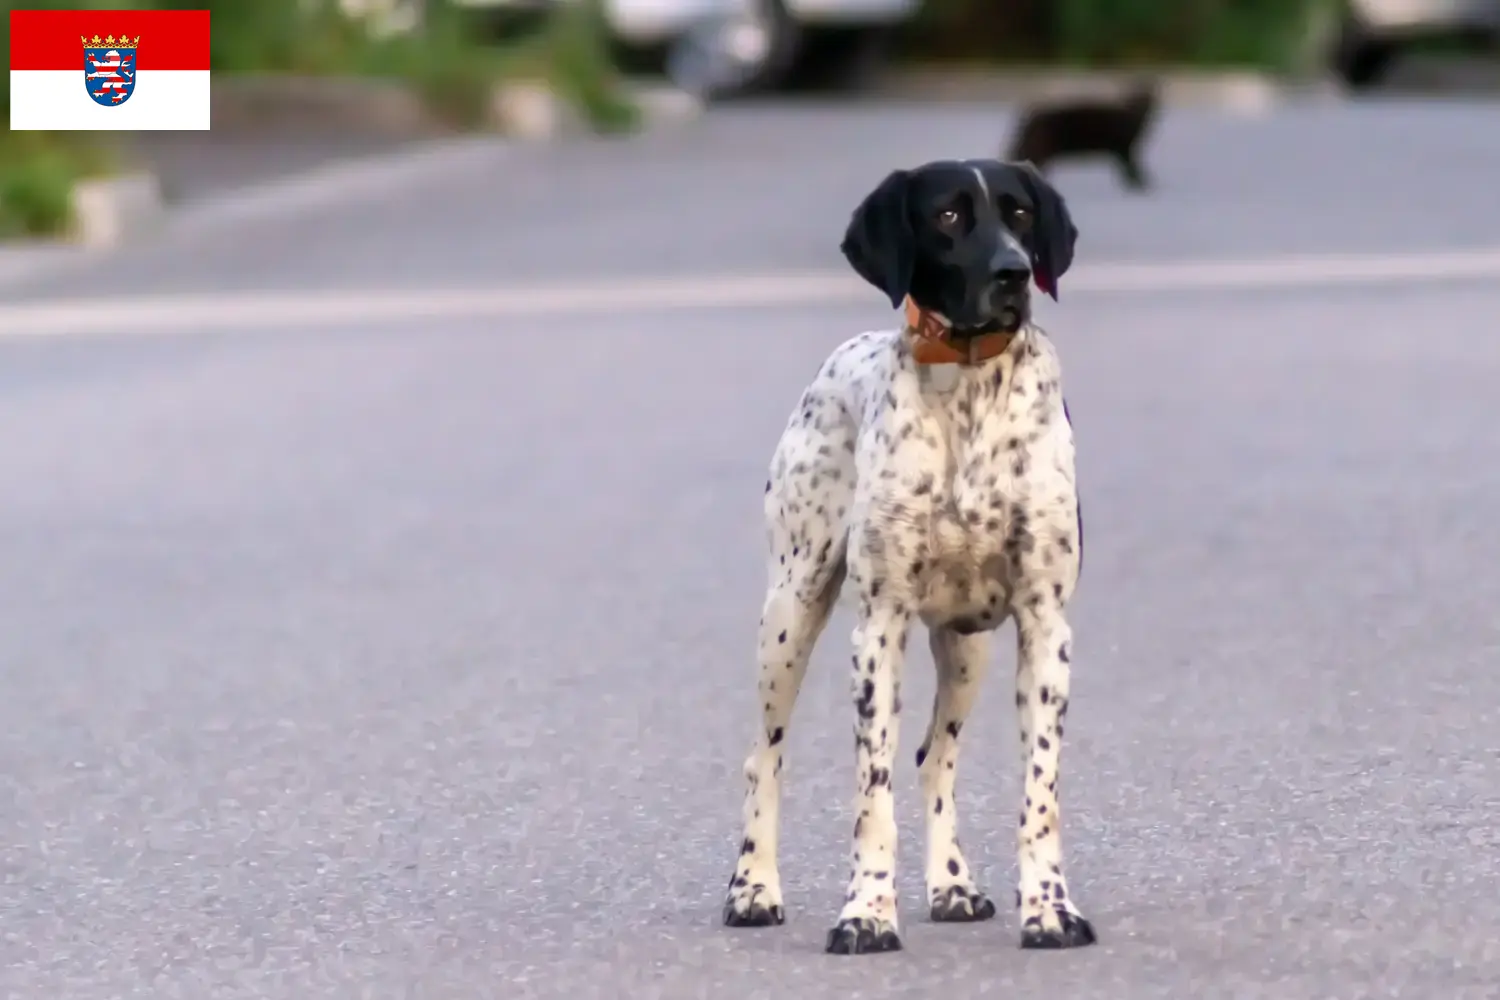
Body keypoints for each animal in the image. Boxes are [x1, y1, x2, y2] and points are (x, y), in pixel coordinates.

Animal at [720, 160, 1098, 959]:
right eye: (949, 216)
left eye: (1019, 212)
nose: (1013, 273)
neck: (969, 388)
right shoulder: (879, 627)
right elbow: (872, 797)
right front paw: (866, 912)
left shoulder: (1045, 627)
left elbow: (1039, 794)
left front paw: (1049, 908)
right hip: (789, 615)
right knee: (765, 757)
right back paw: (753, 889)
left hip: (967, 650)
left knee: (934, 758)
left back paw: (952, 885)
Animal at [1008, 78, 1158, 191]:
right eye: (1135, 97)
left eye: (1146, 98)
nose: (1142, 103)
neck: (1134, 122)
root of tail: (1030, 118)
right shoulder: (1124, 145)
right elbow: (1131, 167)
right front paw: (1141, 184)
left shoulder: (1124, 147)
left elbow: (1127, 168)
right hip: (1042, 142)